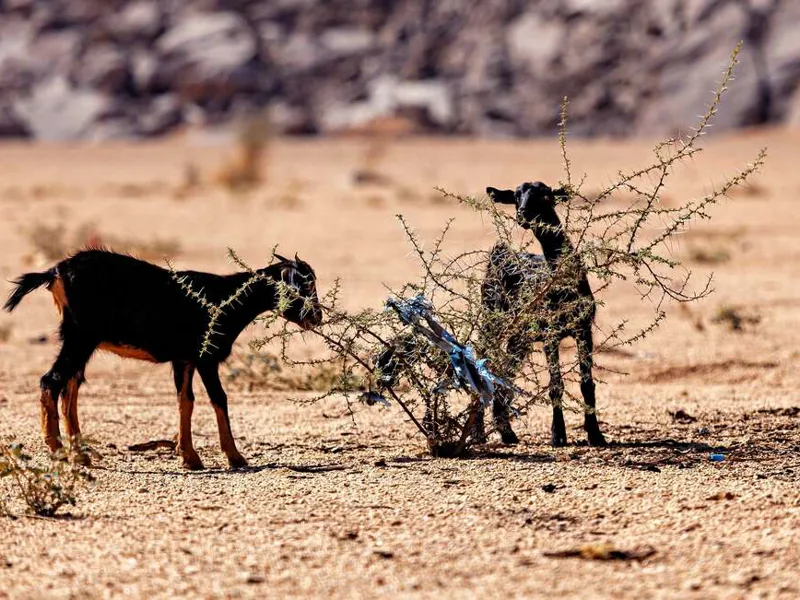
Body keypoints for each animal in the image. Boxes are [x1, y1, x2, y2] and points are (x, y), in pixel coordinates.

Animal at [4, 249, 323, 470]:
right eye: (305, 285)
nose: (317, 317)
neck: (226, 298)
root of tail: (55, 272)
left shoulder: (183, 360)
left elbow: (186, 400)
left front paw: (190, 457)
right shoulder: (205, 358)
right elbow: (218, 398)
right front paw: (234, 457)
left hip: (80, 341)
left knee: (70, 386)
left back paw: (80, 454)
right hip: (80, 337)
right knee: (52, 381)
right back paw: (57, 450)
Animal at [484, 181, 607, 447]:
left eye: (544, 195)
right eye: (516, 196)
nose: (522, 214)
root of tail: (499, 254)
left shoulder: (584, 329)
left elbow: (586, 384)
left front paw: (595, 434)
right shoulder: (551, 334)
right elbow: (555, 385)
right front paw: (557, 435)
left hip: (519, 337)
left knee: (504, 373)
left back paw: (507, 433)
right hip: (491, 321)